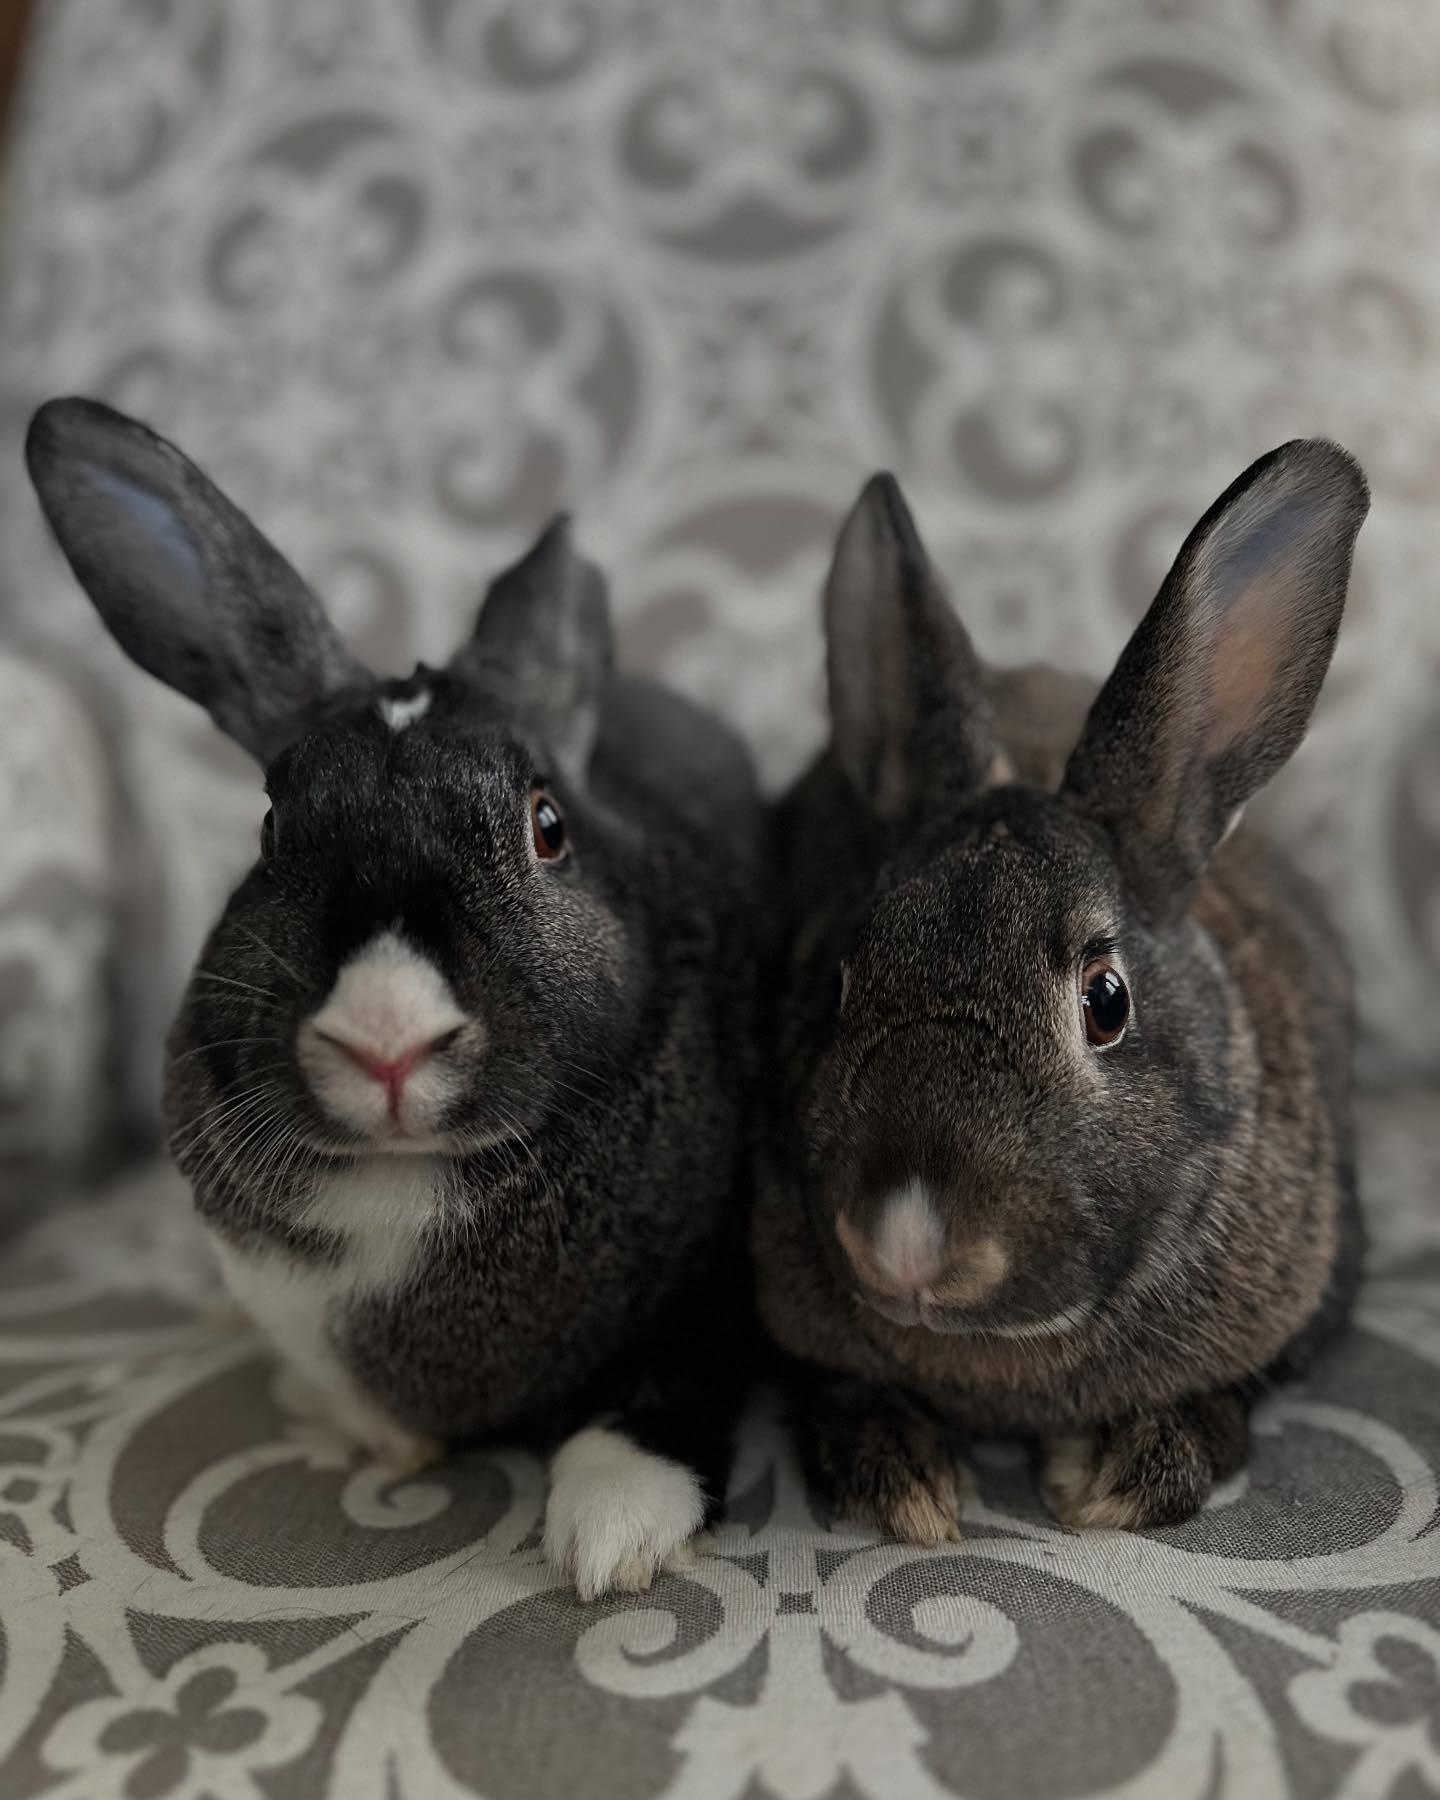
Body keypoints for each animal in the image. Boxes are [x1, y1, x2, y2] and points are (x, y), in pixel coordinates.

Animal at [26, 395, 764, 1600]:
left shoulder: (714, 1288)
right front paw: (359, 1430)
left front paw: (613, 1539)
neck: (405, 1181)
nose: (386, 1044)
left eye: (547, 826)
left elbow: (666, 1390)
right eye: (270, 828)